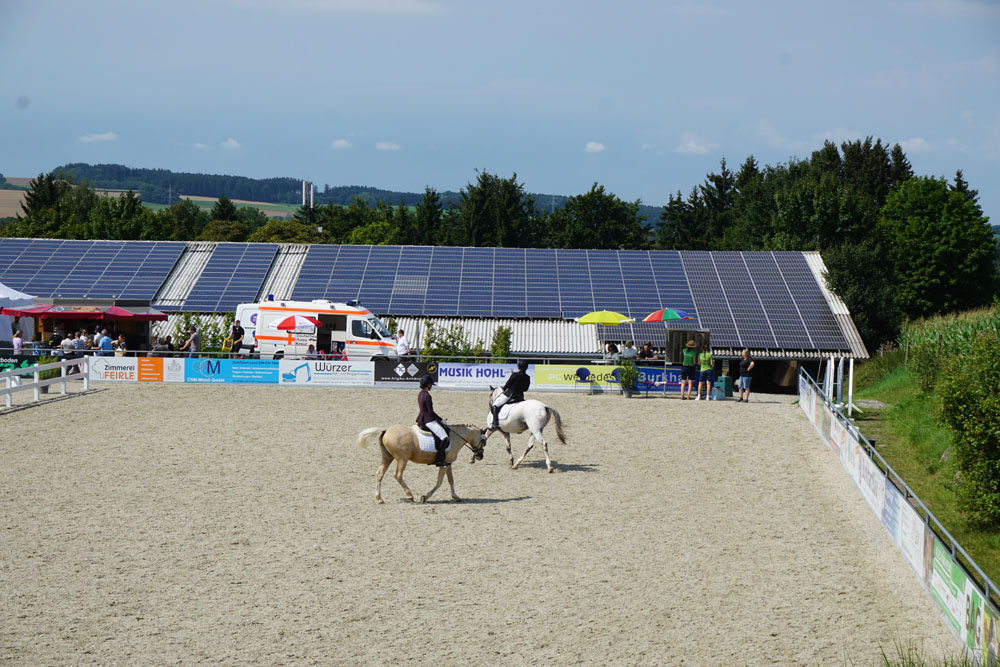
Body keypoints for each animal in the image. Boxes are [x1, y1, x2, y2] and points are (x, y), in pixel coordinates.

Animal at [356, 423, 486, 504]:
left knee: (379, 474)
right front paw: (425, 497)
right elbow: (439, 482)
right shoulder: (444, 464)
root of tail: (387, 430)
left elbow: (451, 480)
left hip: (387, 458)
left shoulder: (448, 463)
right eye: (484, 441)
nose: (480, 456)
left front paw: (456, 497)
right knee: (397, 475)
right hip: (402, 459)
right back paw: (409, 495)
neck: (455, 437)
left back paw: (379, 499)